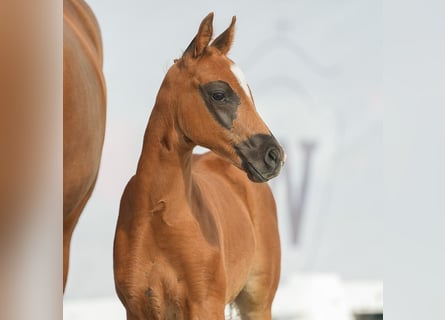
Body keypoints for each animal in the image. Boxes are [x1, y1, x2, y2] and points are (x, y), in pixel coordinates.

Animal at [112, 13, 282, 320]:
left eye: (250, 92)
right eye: (218, 94)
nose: (274, 155)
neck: (160, 216)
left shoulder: (205, 306)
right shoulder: (137, 308)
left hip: (257, 302)